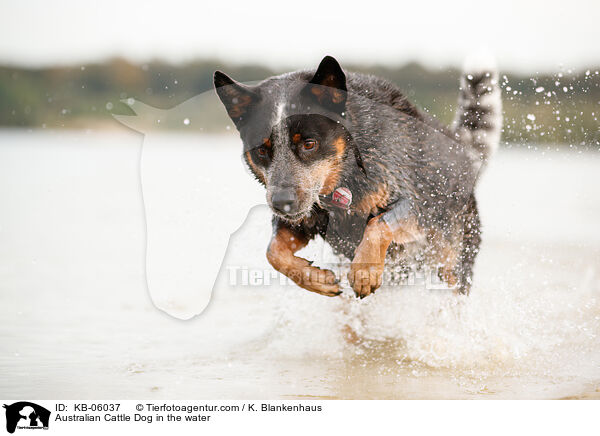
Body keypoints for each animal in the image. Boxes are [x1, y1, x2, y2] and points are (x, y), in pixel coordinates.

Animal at [213, 55, 500, 296]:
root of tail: (461, 151)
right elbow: (273, 252)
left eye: (309, 144)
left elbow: (378, 224)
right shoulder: (302, 221)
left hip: (452, 259)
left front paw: (365, 272)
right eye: (262, 150)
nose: (282, 202)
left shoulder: (412, 202)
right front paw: (317, 280)